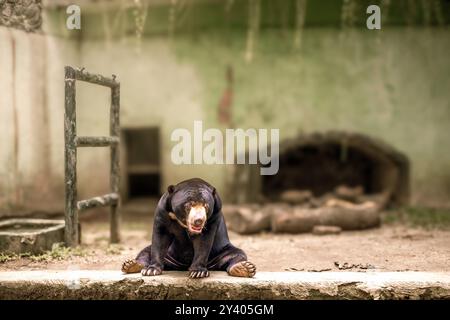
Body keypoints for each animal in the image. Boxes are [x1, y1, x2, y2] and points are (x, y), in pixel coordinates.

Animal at [120, 178, 256, 278]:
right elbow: (160, 238)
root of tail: (182, 266)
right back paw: (131, 265)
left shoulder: (214, 215)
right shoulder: (163, 211)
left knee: (237, 254)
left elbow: (203, 241)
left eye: (206, 206)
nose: (199, 220)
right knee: (145, 251)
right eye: (189, 204)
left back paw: (244, 268)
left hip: (222, 250)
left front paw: (197, 272)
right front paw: (151, 270)